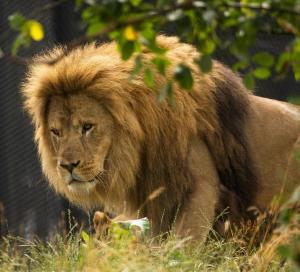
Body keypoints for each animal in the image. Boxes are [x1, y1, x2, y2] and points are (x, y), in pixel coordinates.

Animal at [22, 35, 300, 241]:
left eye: (87, 127)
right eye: (56, 132)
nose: (67, 166)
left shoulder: (201, 187)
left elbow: (183, 243)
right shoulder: (157, 199)